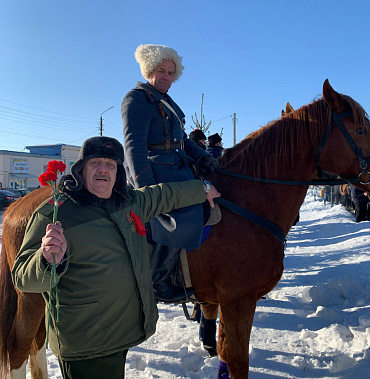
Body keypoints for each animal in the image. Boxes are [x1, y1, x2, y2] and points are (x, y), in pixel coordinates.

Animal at [0, 78, 370, 378]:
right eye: (362, 130)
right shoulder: (238, 300)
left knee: (36, 346)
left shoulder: (226, 301)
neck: (247, 198)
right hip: (32, 296)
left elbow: (224, 354)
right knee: (20, 347)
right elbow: (237, 360)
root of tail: (18, 205)